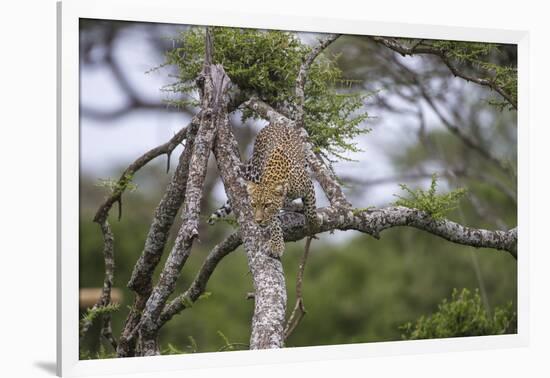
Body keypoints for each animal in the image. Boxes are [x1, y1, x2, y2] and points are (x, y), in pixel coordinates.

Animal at [208, 122, 322, 258]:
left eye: (267, 205)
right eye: (253, 205)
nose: (258, 221)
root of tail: (274, 124)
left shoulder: (308, 185)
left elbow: (311, 209)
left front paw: (315, 222)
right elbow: (274, 223)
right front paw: (277, 245)